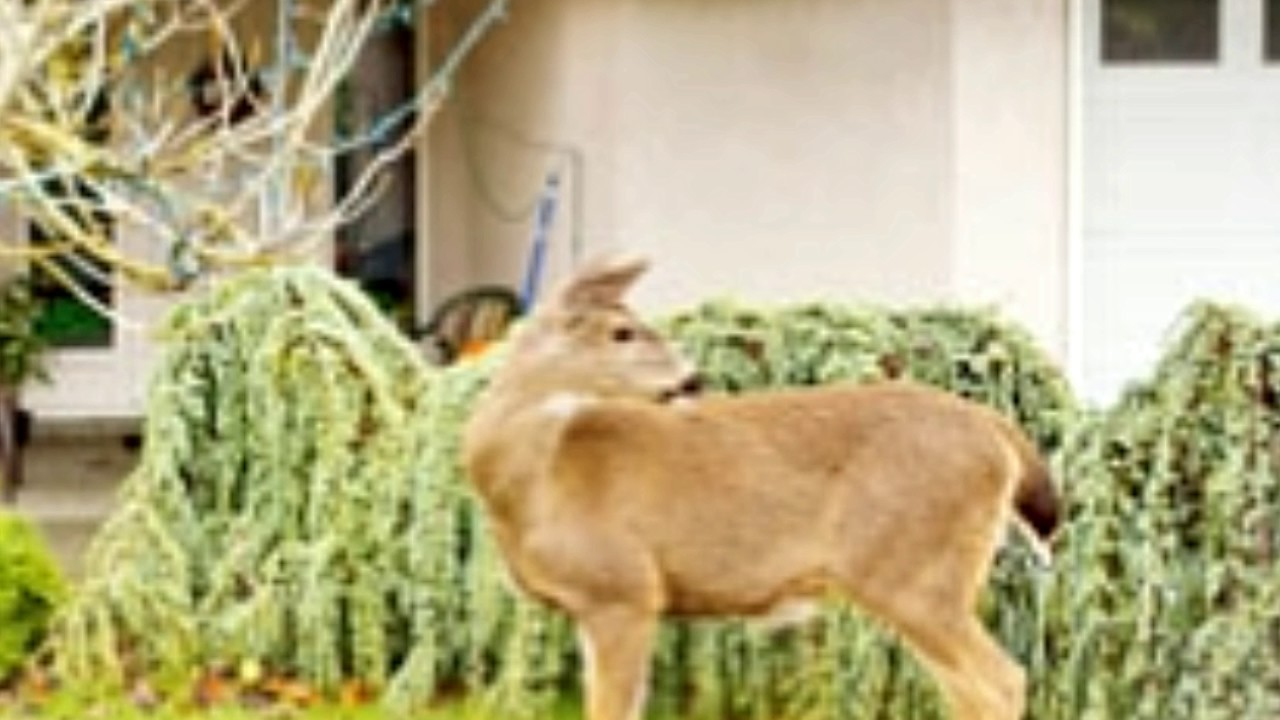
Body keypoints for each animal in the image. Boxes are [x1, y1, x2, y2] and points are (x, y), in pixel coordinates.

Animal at [462, 255, 1060, 720]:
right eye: (622, 331)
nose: (693, 379)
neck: (534, 483)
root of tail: (998, 431)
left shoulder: (624, 590)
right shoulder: (597, 606)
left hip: (915, 572)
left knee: (1000, 681)